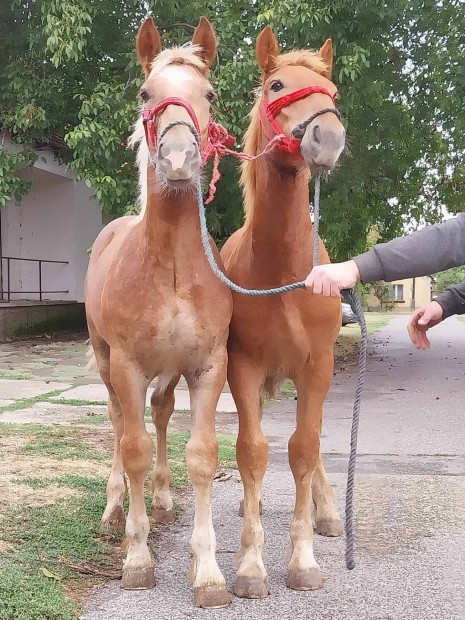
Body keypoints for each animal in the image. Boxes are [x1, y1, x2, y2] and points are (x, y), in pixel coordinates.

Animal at [84, 17, 232, 608]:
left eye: (208, 95)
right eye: (147, 94)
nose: (177, 160)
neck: (168, 265)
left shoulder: (208, 366)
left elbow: (202, 456)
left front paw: (209, 572)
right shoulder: (127, 366)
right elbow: (133, 450)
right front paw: (138, 558)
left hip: (168, 374)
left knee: (163, 416)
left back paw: (164, 501)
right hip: (107, 364)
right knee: (120, 422)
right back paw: (113, 511)